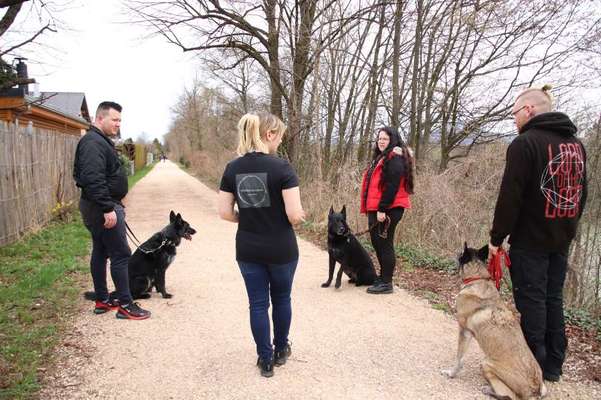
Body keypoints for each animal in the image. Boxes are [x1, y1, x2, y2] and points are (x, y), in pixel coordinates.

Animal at [440, 242, 544, 398]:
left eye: (461, 255)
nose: (455, 254)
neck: (478, 278)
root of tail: (535, 388)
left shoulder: (464, 331)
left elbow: (459, 359)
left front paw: (451, 373)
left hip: (486, 364)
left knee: (510, 396)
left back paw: (489, 390)